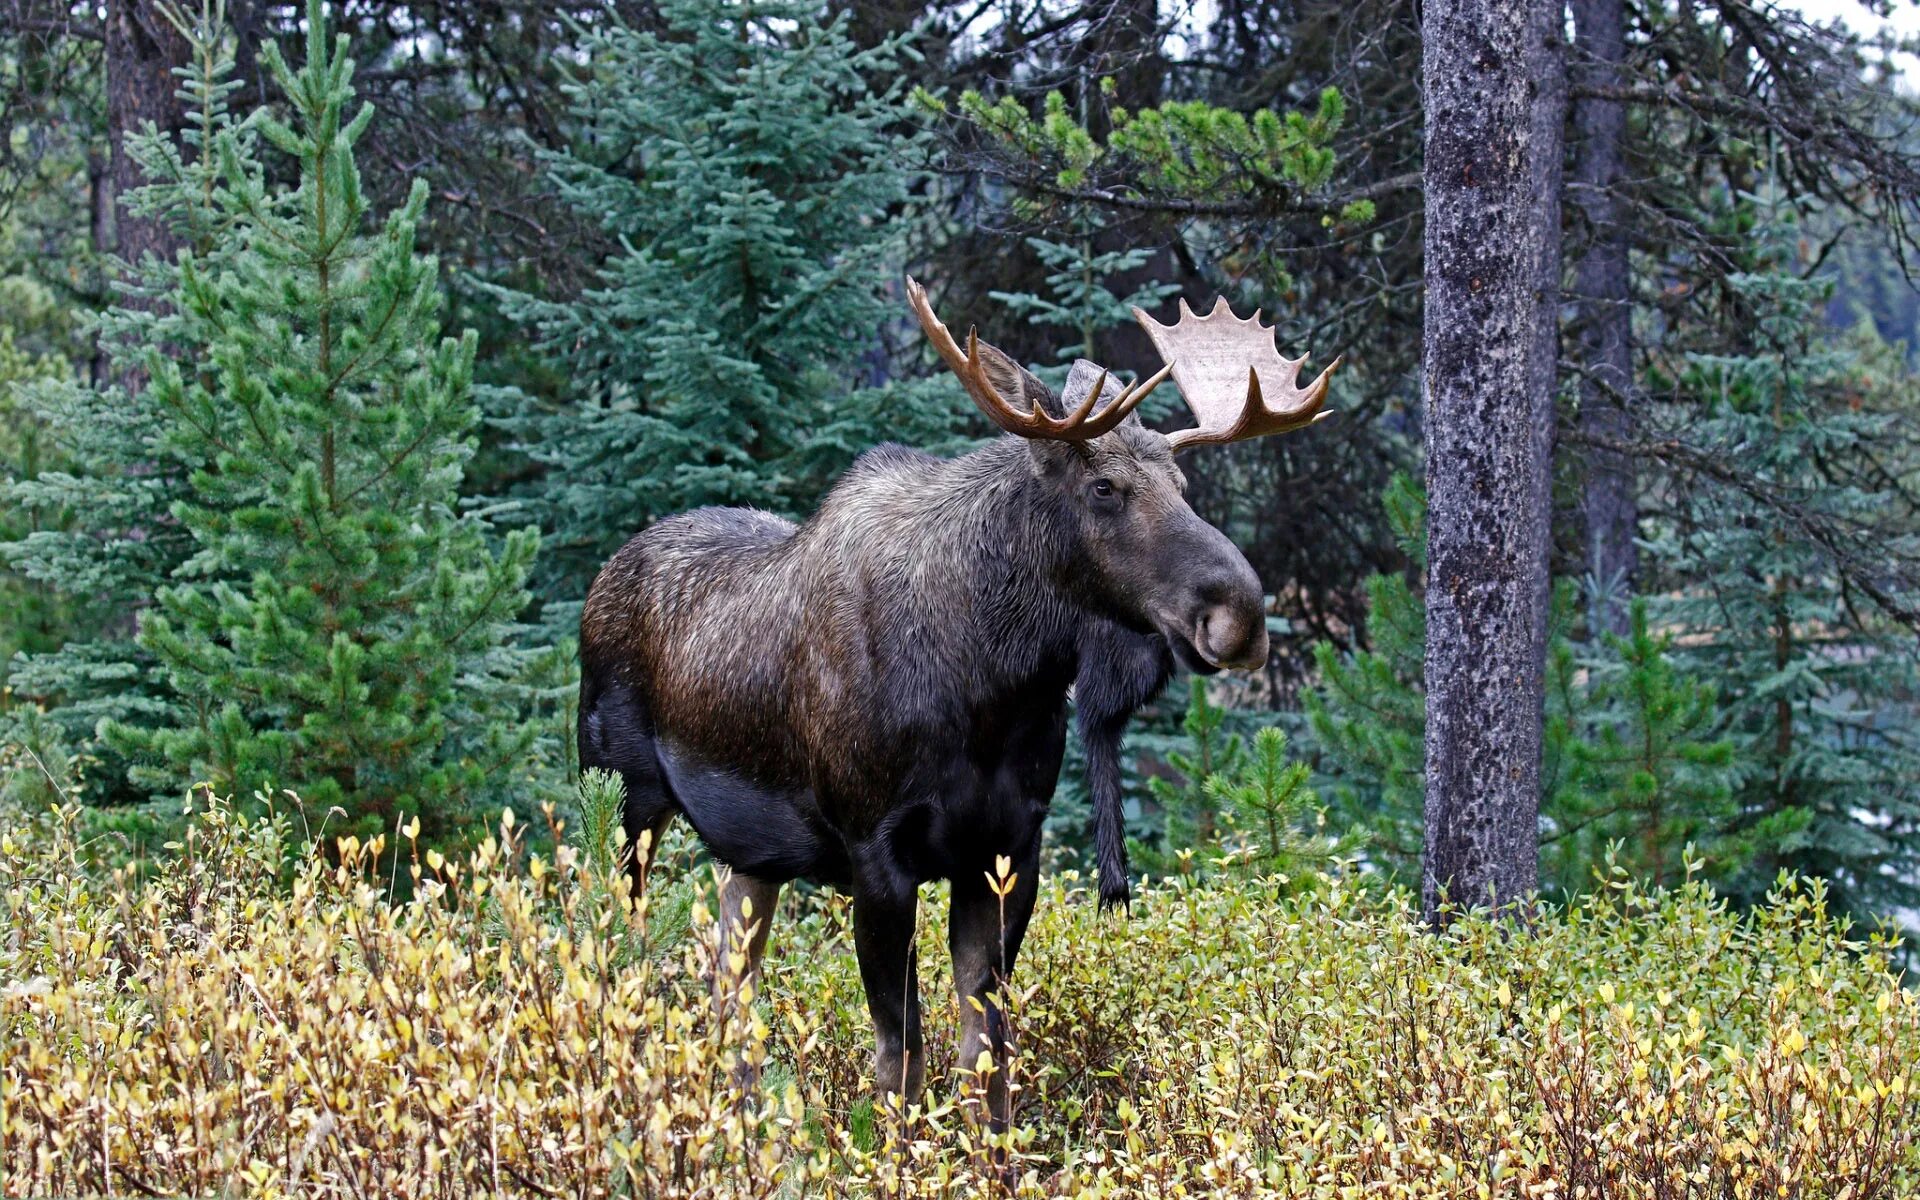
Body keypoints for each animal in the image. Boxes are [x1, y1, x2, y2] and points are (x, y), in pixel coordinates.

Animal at [576, 276, 1344, 1128]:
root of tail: (603, 576)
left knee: (730, 981)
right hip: (625, 799)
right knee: (623, 953)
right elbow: (902, 1059)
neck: (993, 693)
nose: (1239, 615)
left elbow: (988, 1059)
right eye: (1103, 488)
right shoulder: (877, 853)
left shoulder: (1007, 849)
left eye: (1182, 487)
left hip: (753, 852)